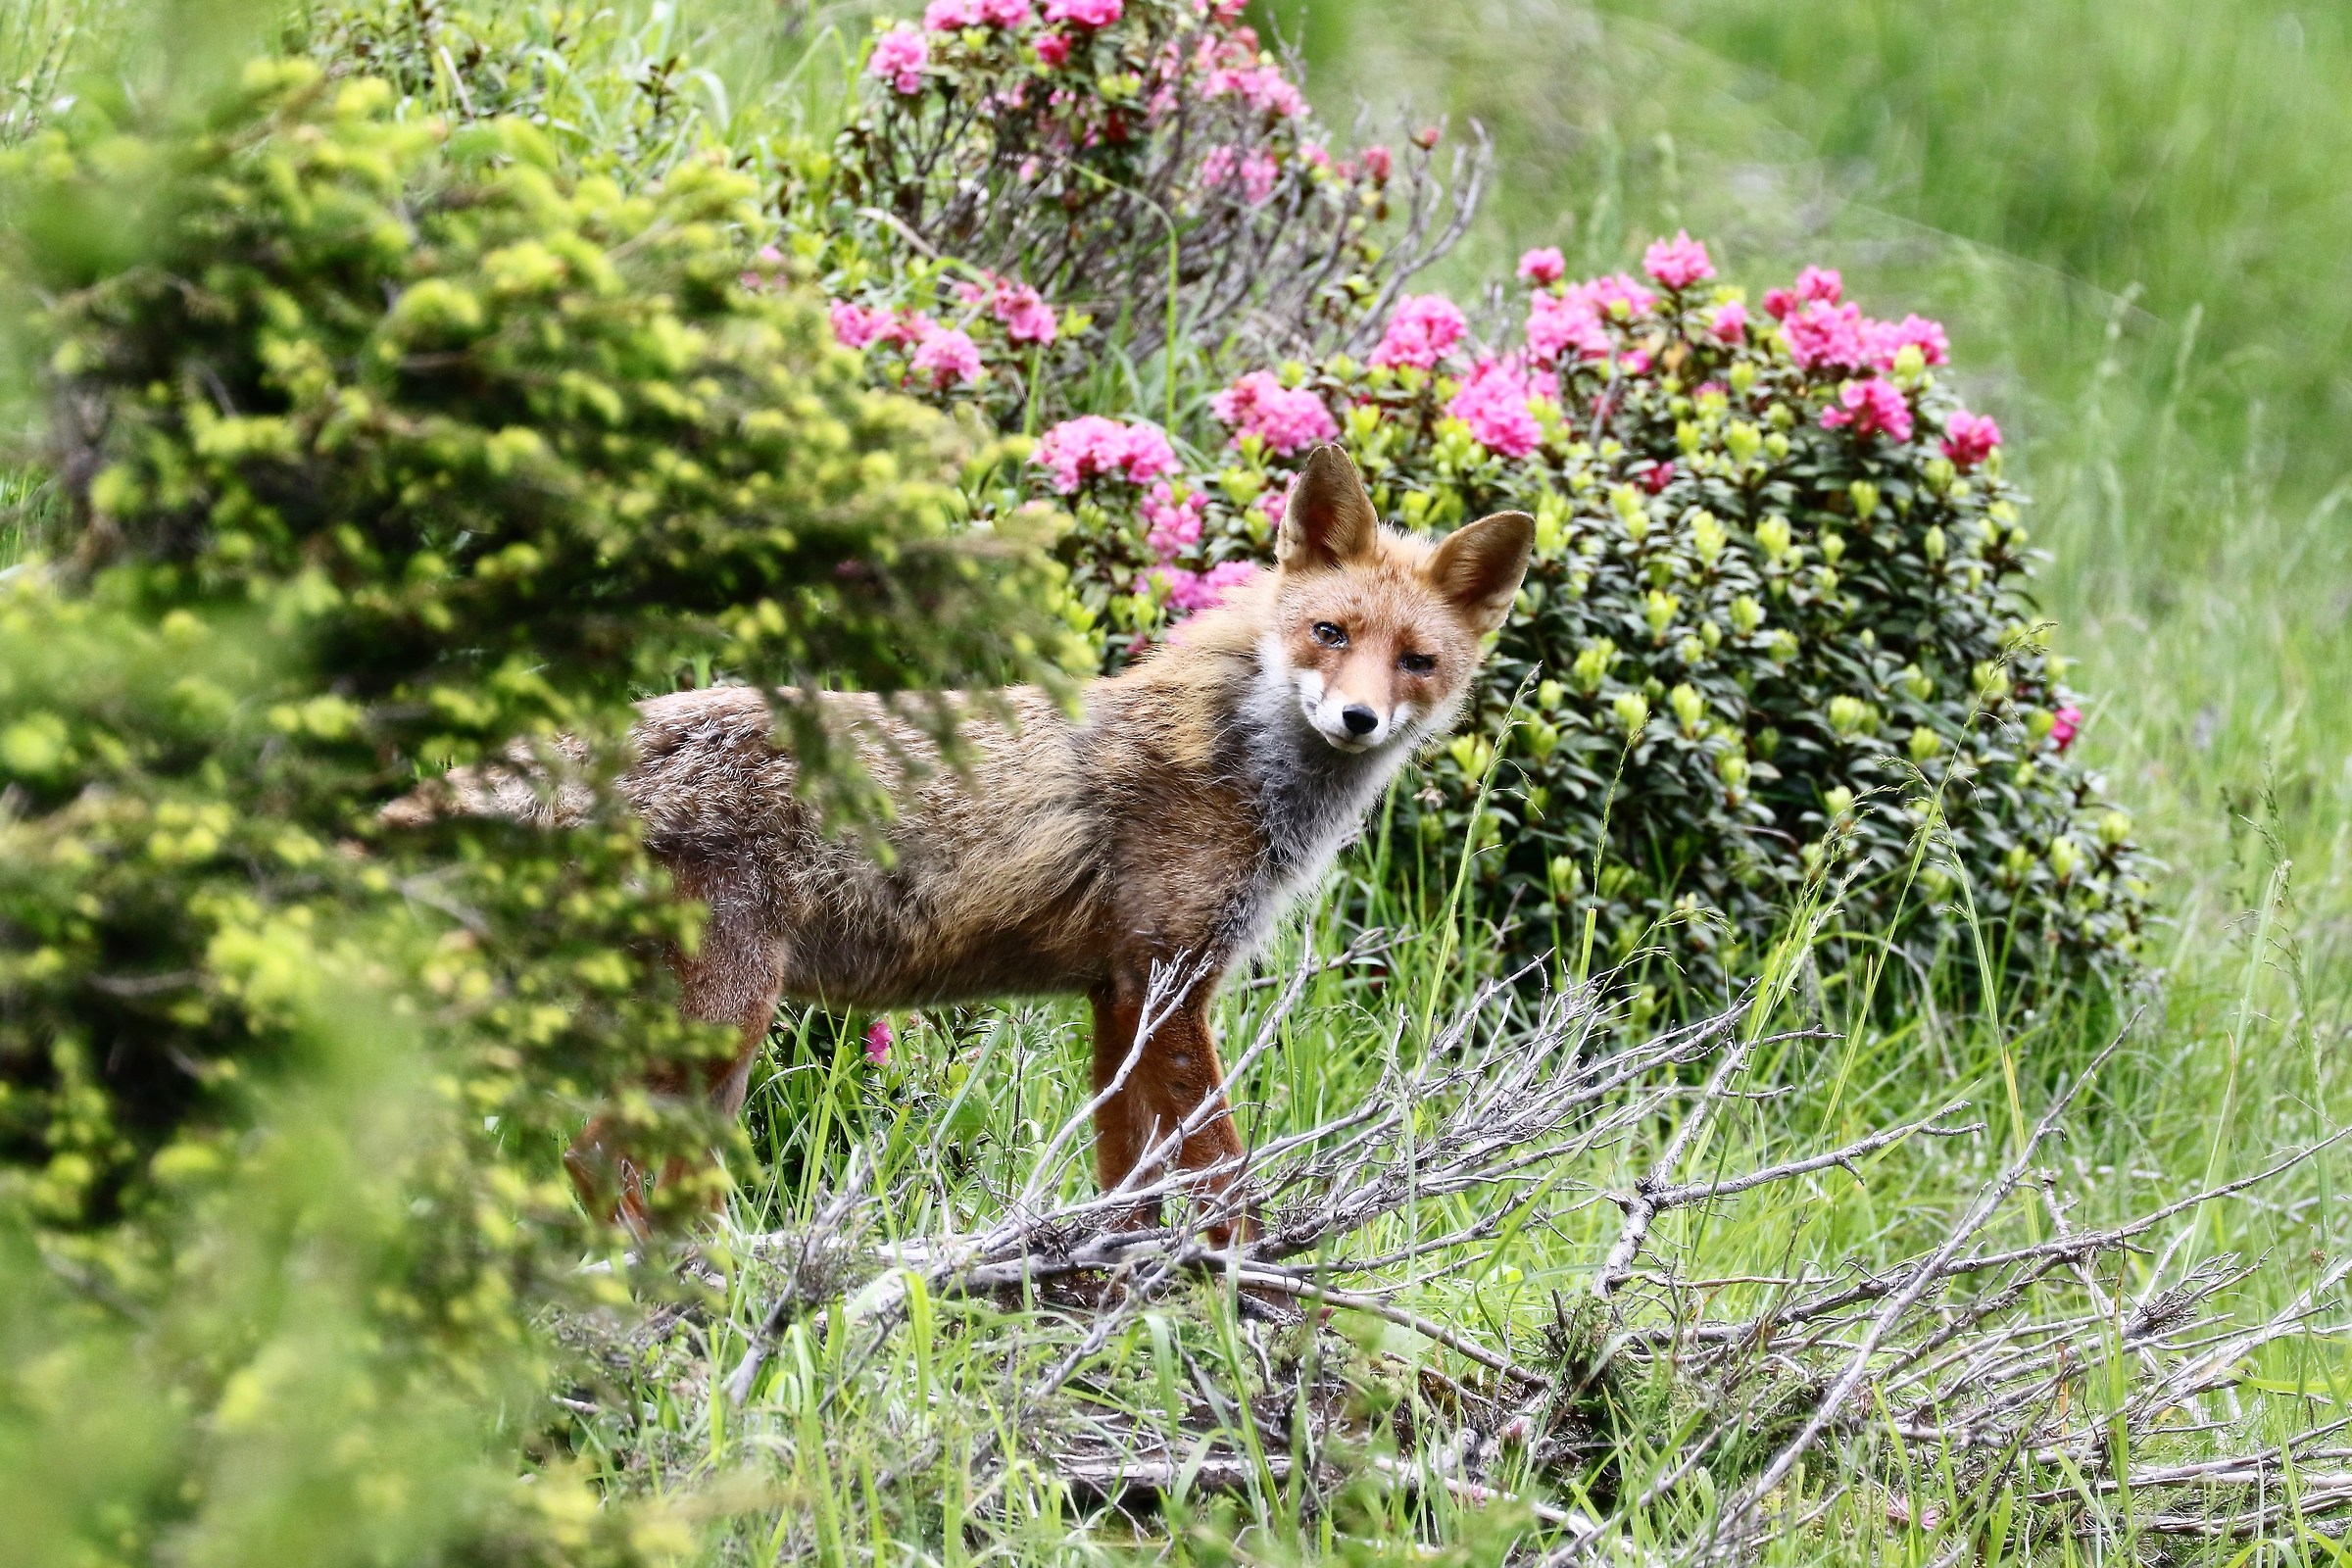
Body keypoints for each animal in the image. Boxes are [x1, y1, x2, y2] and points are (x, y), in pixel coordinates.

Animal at [396, 445, 1532, 1237]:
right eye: (1329, 635)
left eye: (1418, 661)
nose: (1358, 721)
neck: (1233, 767)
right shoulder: (1171, 988)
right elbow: (1224, 1179)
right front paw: (1254, 1303)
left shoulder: (1119, 996)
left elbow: (1124, 1187)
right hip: (719, 1026)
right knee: (595, 1164)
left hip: (703, 1047)